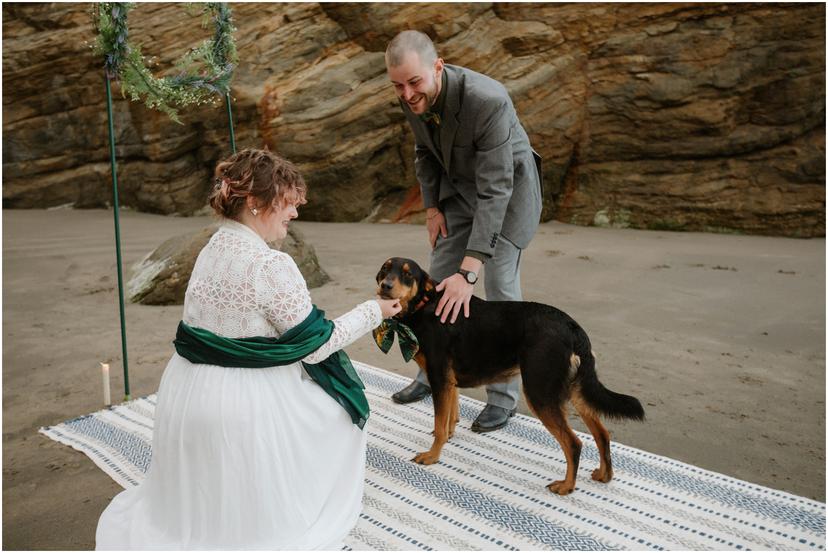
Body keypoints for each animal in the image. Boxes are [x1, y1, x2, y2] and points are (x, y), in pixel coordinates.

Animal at [376, 256, 648, 494]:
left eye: (408, 274)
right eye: (385, 269)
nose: (385, 286)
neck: (425, 304)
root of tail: (572, 327)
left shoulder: (439, 377)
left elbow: (440, 422)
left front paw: (432, 456)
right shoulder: (448, 381)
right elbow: (449, 418)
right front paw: (447, 438)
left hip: (540, 392)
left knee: (574, 443)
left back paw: (566, 487)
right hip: (574, 389)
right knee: (602, 434)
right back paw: (604, 475)